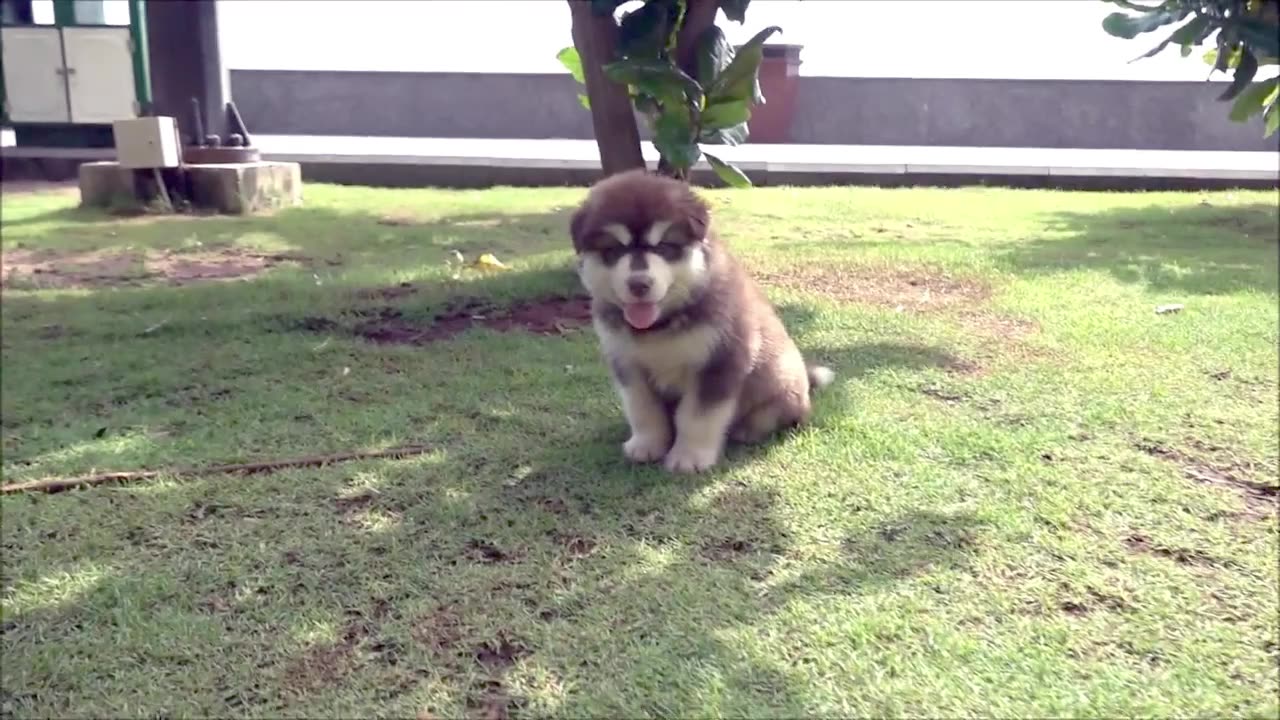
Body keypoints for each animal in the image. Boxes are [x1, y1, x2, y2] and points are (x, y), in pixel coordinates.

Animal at [568, 167, 829, 471]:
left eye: (664, 246)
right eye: (613, 251)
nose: (639, 284)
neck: (660, 326)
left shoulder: (719, 361)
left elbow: (697, 416)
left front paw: (689, 457)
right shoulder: (627, 363)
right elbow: (642, 408)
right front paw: (646, 444)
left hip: (782, 381)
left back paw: (748, 430)